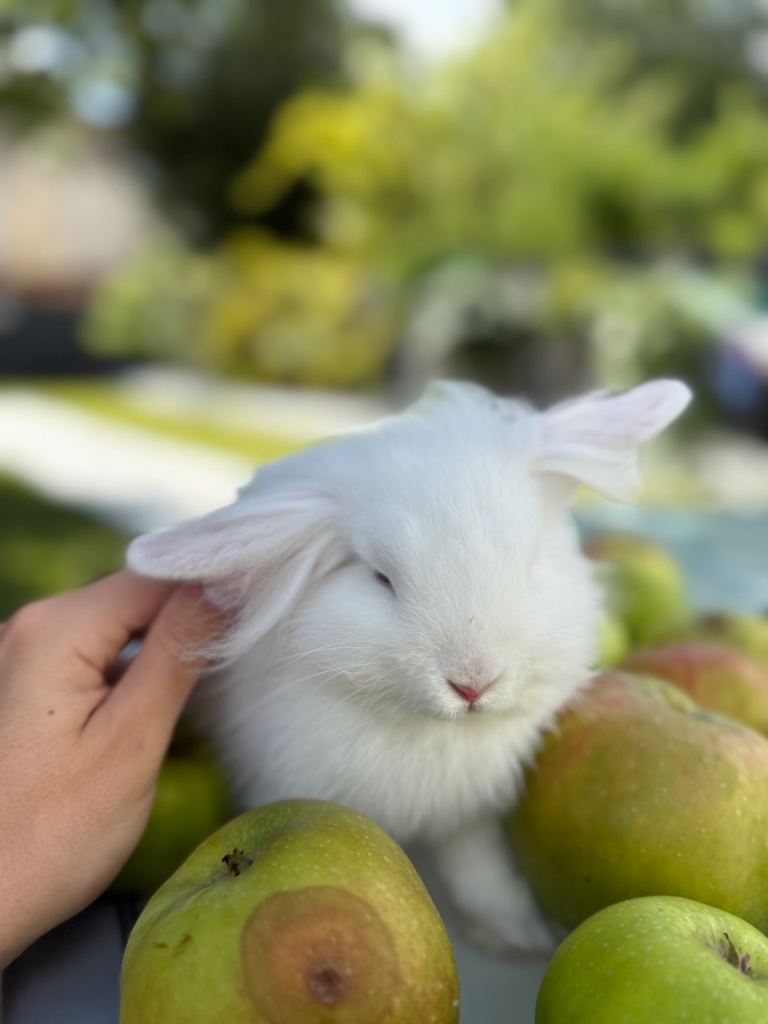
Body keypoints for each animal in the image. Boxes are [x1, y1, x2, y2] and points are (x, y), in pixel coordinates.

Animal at [127, 378, 691, 955]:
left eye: (530, 563)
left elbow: (479, 870)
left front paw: (520, 933)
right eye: (381, 578)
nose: (473, 684)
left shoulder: (470, 813)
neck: (426, 730)